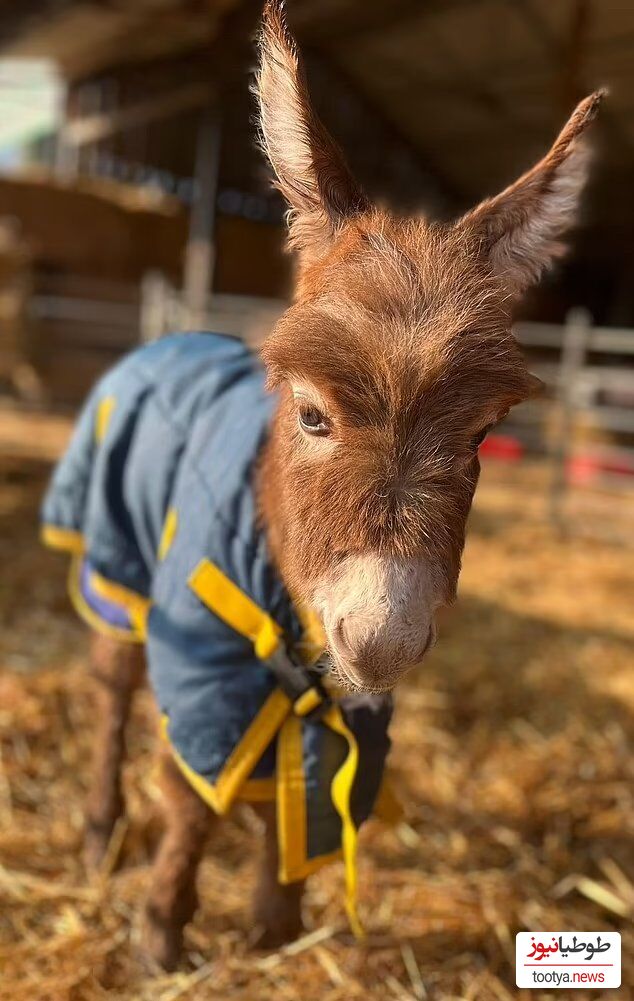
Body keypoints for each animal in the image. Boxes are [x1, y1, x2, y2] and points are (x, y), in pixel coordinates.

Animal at [55, 0, 604, 968]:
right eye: (313, 416)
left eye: (481, 435)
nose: (383, 638)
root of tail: (175, 332)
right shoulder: (199, 638)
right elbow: (188, 793)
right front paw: (163, 929)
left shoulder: (344, 692)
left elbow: (309, 775)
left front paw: (275, 919)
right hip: (116, 565)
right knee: (113, 690)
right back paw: (100, 830)